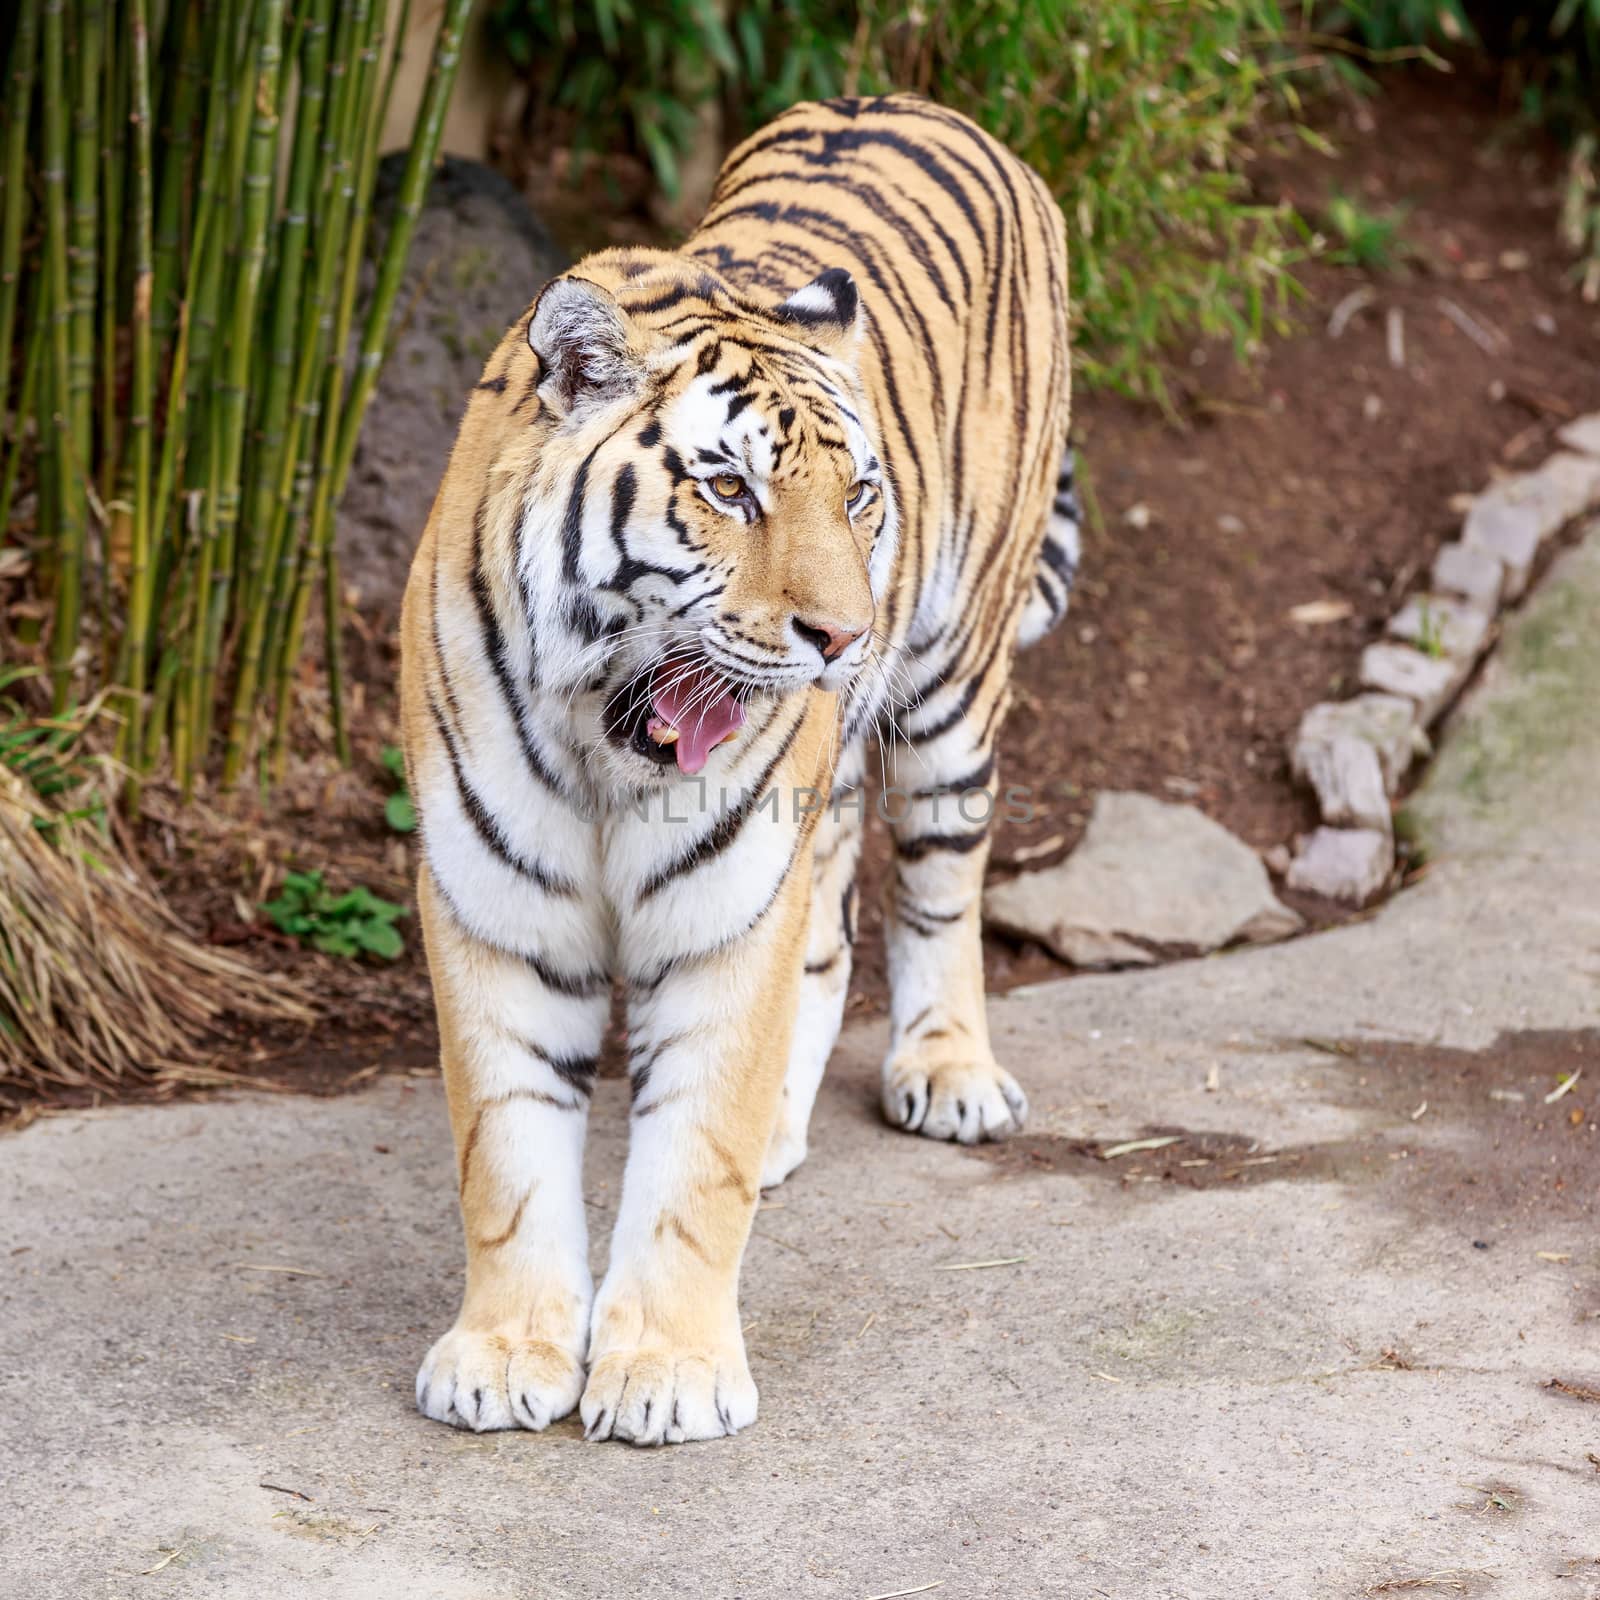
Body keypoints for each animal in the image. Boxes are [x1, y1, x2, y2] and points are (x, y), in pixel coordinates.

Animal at [398, 96, 1075, 1452]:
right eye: (728, 488)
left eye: (858, 495)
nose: (842, 637)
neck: (603, 731)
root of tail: (922, 103)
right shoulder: (496, 907)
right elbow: (506, 1151)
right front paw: (504, 1354)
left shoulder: (723, 906)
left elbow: (691, 1160)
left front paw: (663, 1371)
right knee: (827, 929)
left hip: (953, 685)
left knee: (937, 888)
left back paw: (948, 1072)